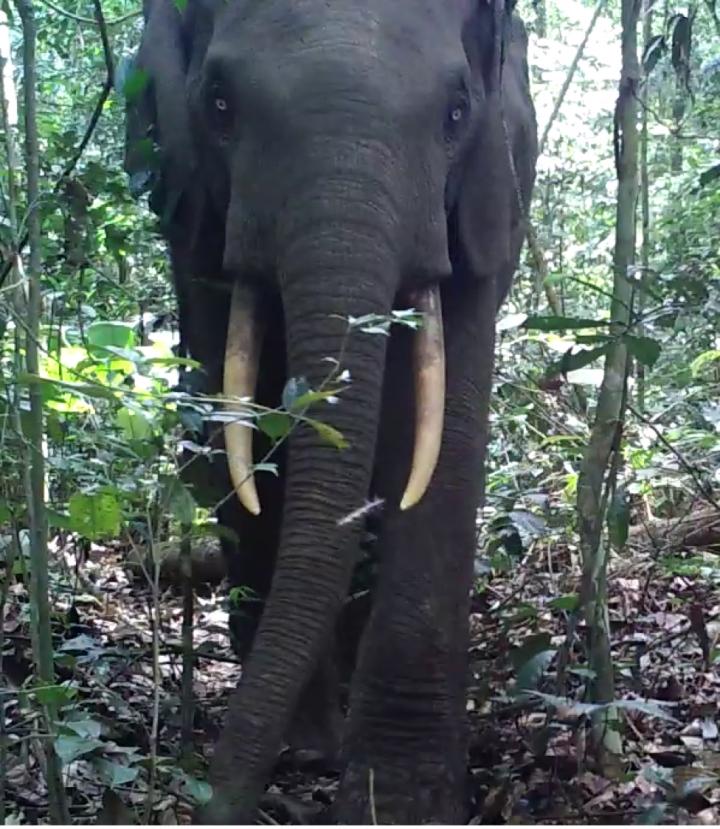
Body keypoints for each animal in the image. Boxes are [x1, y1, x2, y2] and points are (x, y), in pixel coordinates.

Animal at [126, 0, 537, 822]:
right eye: (220, 104)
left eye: (456, 112)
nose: (211, 800)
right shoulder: (194, 215)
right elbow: (237, 412)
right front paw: (307, 746)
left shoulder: (488, 196)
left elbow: (447, 431)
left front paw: (400, 802)